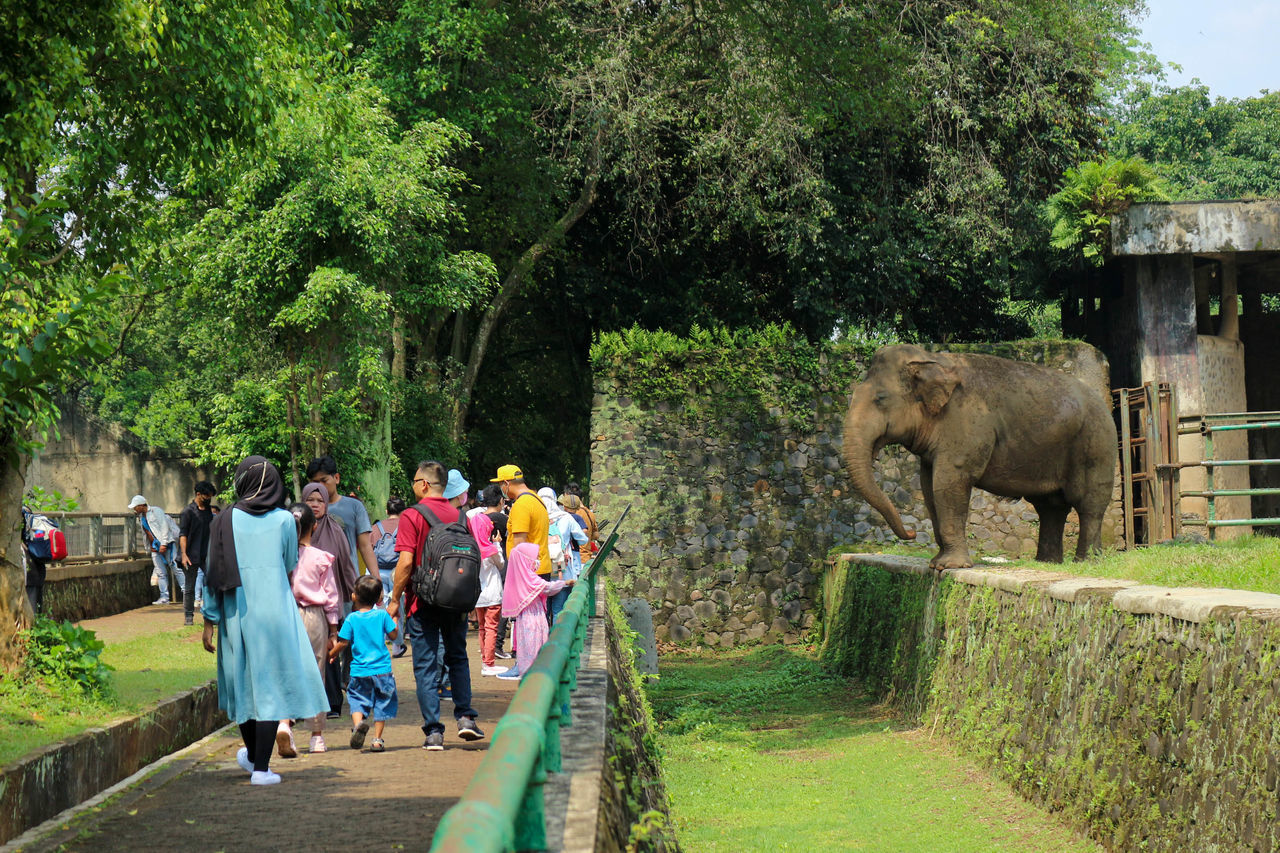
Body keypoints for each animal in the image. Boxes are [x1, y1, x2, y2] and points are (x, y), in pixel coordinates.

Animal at [839, 343, 1111, 568]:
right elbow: (928, 486)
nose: (912, 534)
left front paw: (949, 566)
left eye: (880, 398)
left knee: (1089, 504)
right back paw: (1048, 563)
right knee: (1050, 507)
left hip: (1095, 444)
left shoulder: (966, 423)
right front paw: (936, 563)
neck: (932, 360)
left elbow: (949, 482)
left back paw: (1086, 563)